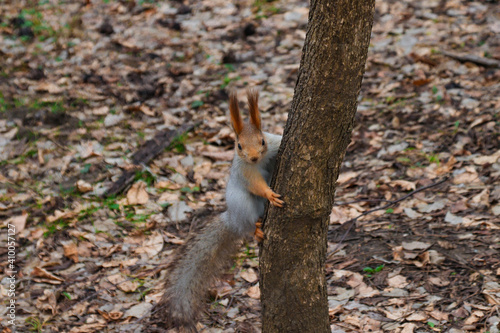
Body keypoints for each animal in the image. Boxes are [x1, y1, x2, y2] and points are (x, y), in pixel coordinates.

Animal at [154, 88, 284, 330]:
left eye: (262, 140)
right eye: (238, 146)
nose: (253, 156)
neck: (259, 160)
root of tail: (232, 219)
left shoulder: (275, 144)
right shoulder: (244, 170)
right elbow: (256, 184)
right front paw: (270, 194)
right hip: (242, 205)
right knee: (248, 224)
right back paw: (256, 229)